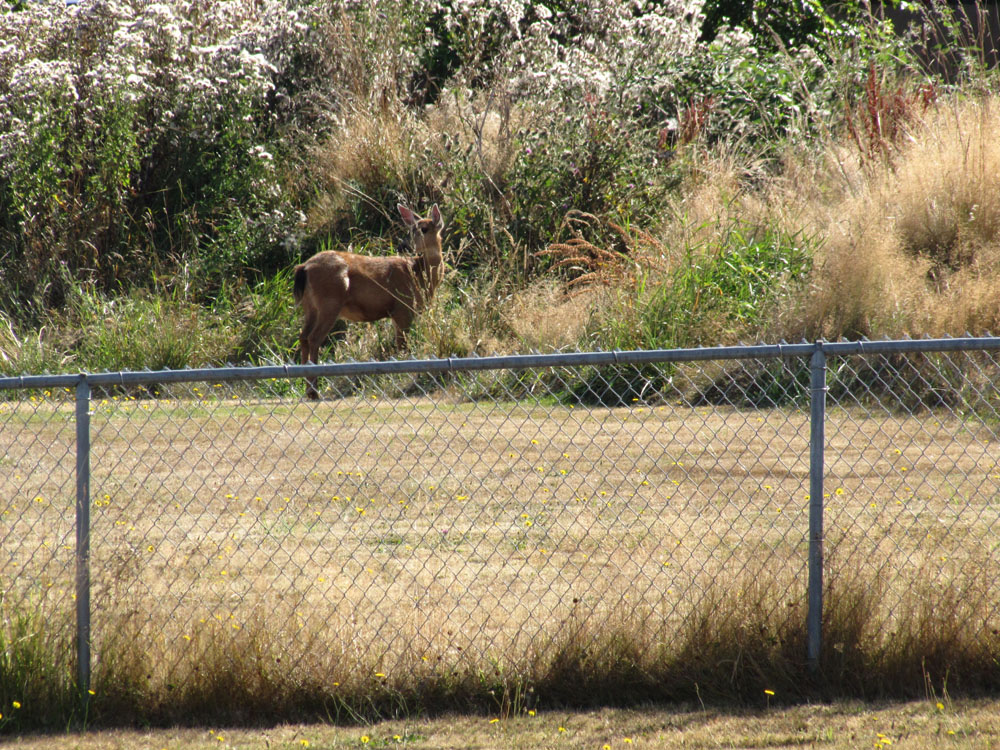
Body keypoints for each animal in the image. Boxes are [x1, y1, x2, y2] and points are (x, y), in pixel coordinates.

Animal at [293, 203, 445, 399]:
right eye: (411, 229)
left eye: (424, 229)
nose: (403, 246)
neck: (419, 275)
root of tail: (304, 267)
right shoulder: (402, 307)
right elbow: (403, 346)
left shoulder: (398, 313)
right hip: (329, 301)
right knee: (314, 338)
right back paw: (314, 392)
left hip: (309, 306)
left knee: (303, 337)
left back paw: (308, 390)